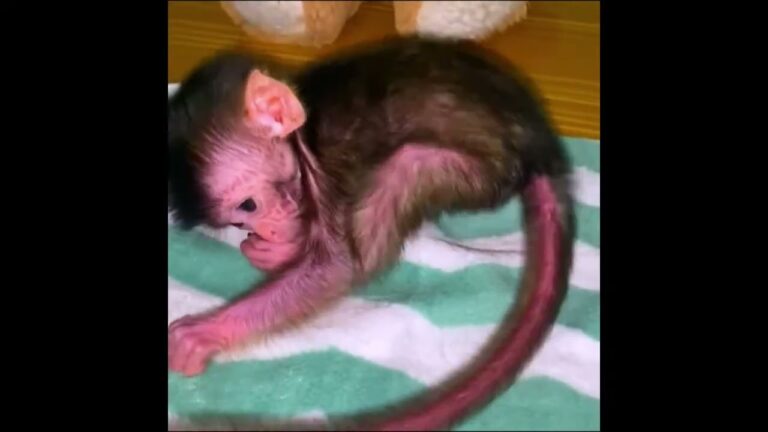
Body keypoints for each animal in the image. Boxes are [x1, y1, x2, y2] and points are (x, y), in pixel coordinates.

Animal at [167, 37, 575, 431]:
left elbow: (338, 268)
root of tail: (543, 149)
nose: (264, 230)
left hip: (477, 171)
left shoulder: (325, 174)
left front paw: (207, 331)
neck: (306, 134)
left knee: (405, 166)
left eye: (249, 205)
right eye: (239, 223)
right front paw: (277, 249)